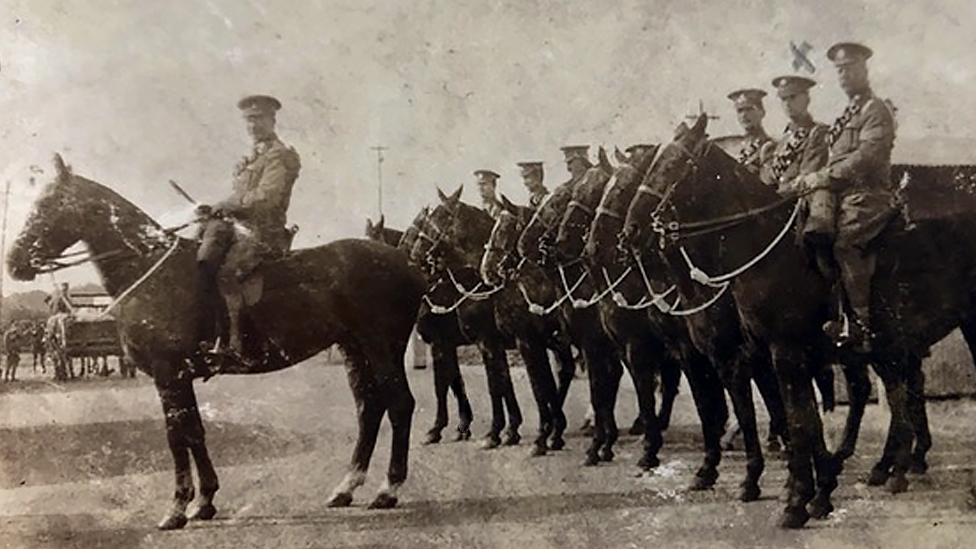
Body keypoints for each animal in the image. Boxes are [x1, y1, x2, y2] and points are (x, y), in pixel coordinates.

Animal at [6, 153, 428, 528]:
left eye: (48, 205)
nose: (13, 262)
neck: (150, 271)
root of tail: (407, 263)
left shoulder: (168, 375)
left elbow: (176, 436)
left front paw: (177, 508)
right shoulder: (181, 377)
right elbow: (195, 432)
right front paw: (205, 501)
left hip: (381, 346)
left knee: (399, 404)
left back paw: (388, 489)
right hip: (354, 349)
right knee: (369, 408)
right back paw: (346, 487)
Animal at [624, 114, 976, 528]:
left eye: (674, 165)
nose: (631, 230)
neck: (765, 254)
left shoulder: (777, 353)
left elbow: (793, 420)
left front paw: (794, 501)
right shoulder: (773, 356)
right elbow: (802, 421)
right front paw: (817, 492)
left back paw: (901, 469)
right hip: (888, 346)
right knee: (898, 394)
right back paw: (891, 468)